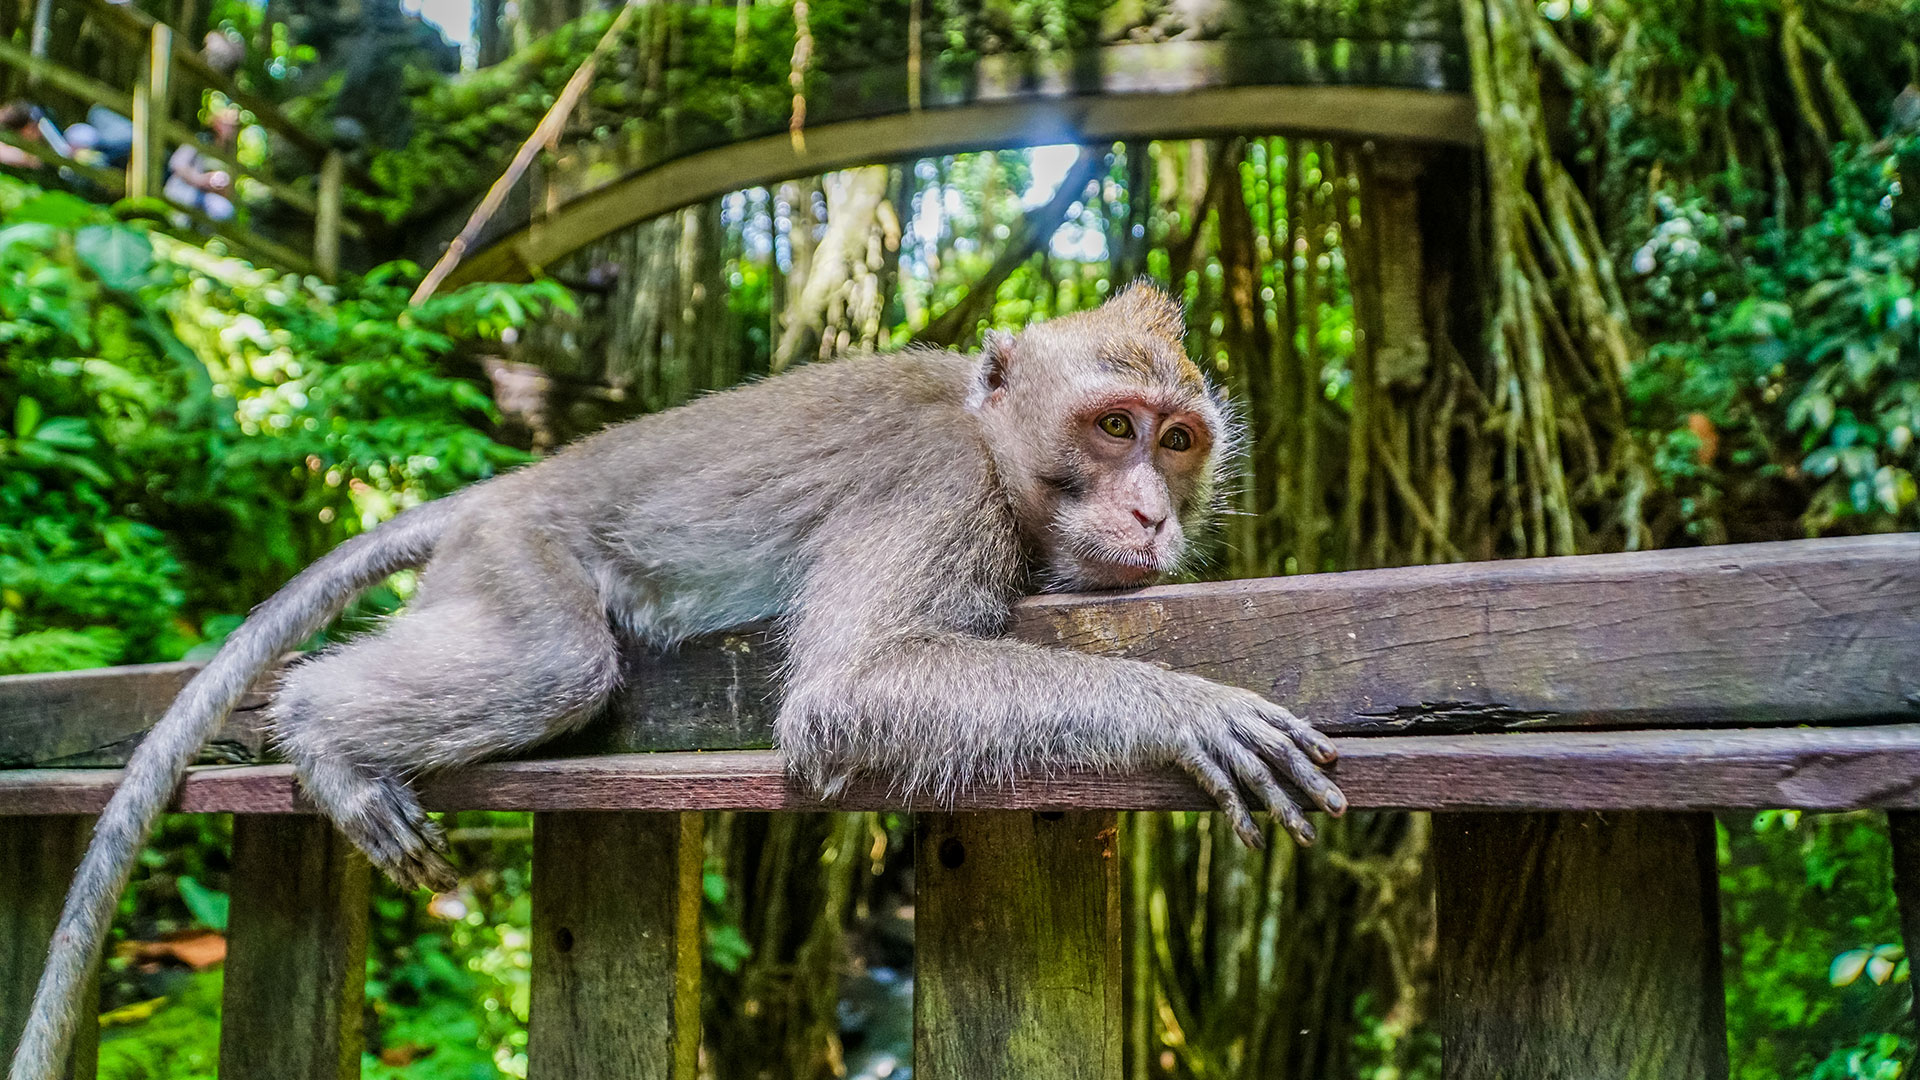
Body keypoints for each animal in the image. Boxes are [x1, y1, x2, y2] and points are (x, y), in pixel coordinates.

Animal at [7, 278, 1344, 1076]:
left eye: (1179, 441)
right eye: (1115, 428)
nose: (1151, 512)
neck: (993, 444)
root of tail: (507, 487)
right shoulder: (935, 485)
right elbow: (848, 687)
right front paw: (1187, 711)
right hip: (519, 557)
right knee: (555, 665)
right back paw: (324, 736)